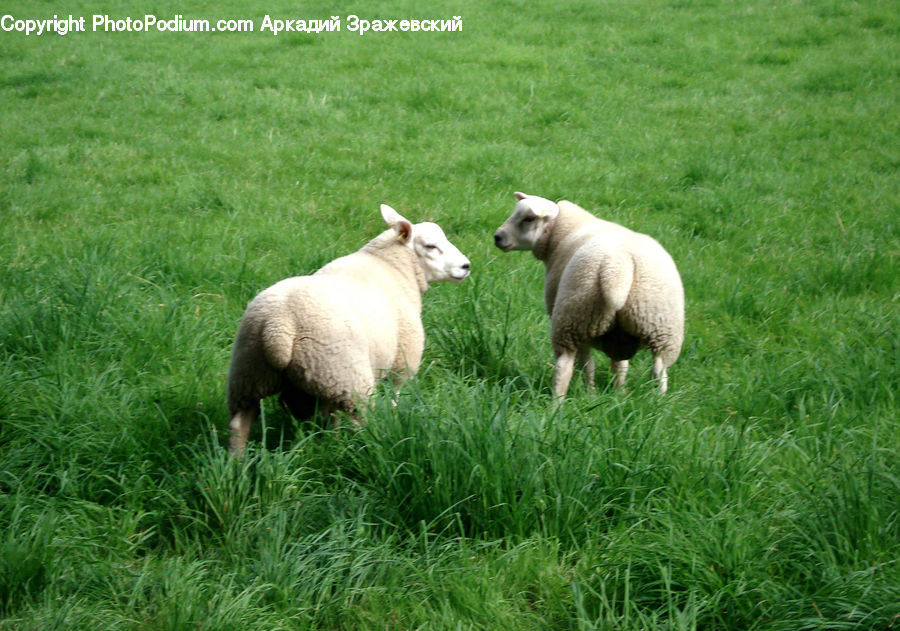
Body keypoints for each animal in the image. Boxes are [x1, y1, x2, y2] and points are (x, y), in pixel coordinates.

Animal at [227, 205, 472, 456]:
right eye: (431, 246)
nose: (466, 266)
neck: (393, 267)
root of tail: (279, 326)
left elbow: (330, 416)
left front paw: (332, 439)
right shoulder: (402, 361)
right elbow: (394, 397)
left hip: (251, 373)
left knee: (240, 422)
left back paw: (238, 461)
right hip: (345, 375)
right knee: (359, 420)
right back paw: (368, 445)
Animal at [492, 191, 684, 400]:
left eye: (528, 218)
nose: (497, 237)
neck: (560, 233)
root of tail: (618, 266)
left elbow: (588, 363)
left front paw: (595, 392)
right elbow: (620, 366)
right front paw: (618, 393)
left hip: (574, 319)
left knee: (568, 365)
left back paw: (562, 401)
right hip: (661, 329)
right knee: (659, 371)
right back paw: (656, 402)